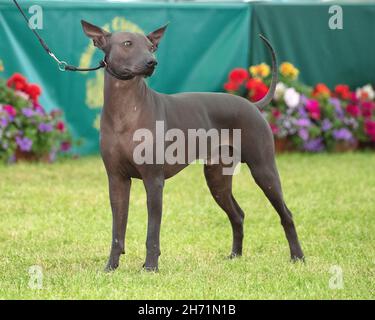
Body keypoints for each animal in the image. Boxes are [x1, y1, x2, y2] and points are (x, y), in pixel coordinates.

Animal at [82, 20, 306, 272]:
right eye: (128, 44)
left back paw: (298, 257)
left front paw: (150, 267)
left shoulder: (153, 181)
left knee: (286, 214)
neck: (125, 107)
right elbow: (117, 231)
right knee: (238, 214)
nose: (152, 62)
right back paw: (235, 255)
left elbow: (152, 233)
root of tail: (252, 104)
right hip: (217, 179)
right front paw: (111, 267)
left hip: (263, 170)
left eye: (151, 47)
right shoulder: (117, 181)